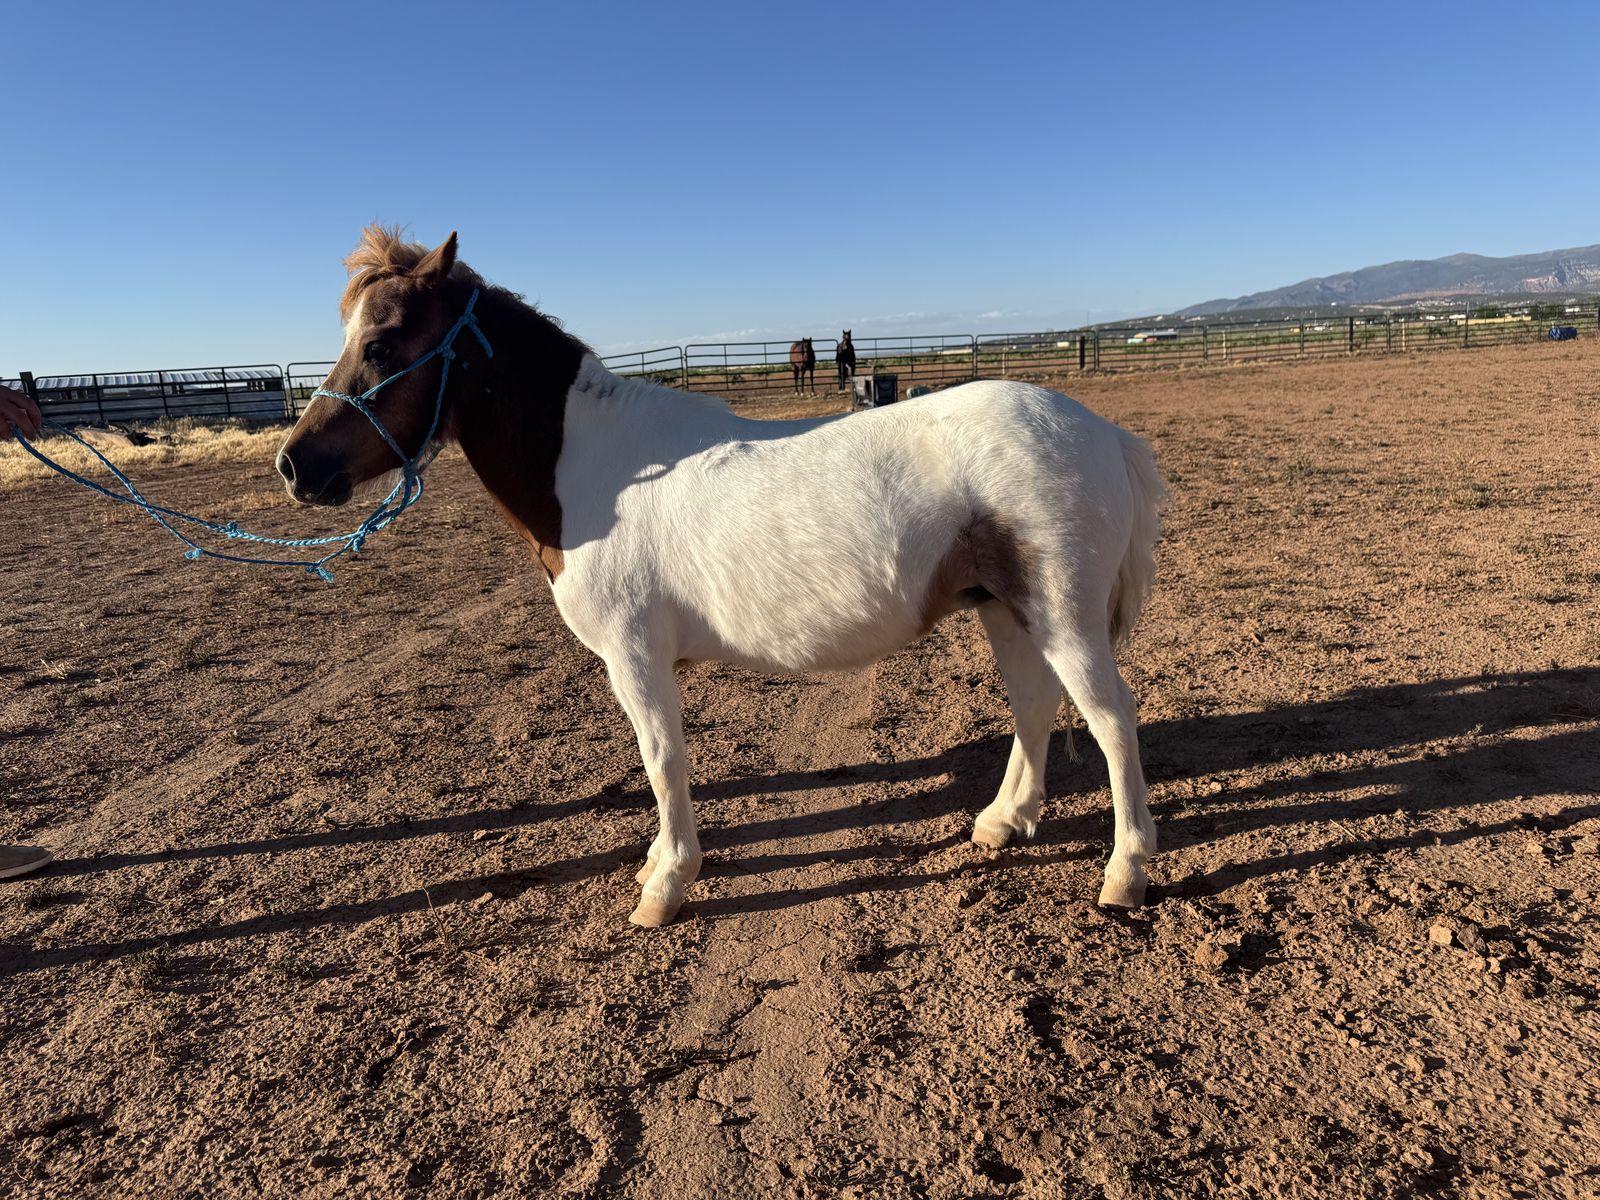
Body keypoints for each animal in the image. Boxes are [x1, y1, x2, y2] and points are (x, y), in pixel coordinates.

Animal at [277, 228, 1167, 929]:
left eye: (383, 343)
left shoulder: (635, 658)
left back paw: (1125, 871)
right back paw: (1002, 821)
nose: (295, 465)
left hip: (1062, 616)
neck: (597, 469)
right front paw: (656, 865)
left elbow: (662, 761)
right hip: (1005, 610)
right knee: (1034, 703)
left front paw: (667, 883)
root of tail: (1104, 432)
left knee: (1111, 719)